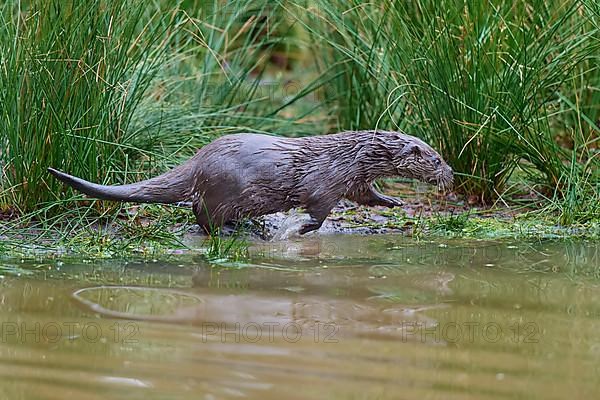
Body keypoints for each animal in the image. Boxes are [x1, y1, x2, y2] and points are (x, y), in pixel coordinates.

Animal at [48, 130, 450, 234]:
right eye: (437, 159)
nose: (450, 174)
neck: (351, 157)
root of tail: (198, 160)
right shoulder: (328, 183)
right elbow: (317, 210)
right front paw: (301, 229)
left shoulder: (355, 181)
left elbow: (368, 196)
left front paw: (393, 202)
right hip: (223, 188)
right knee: (201, 213)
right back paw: (228, 229)